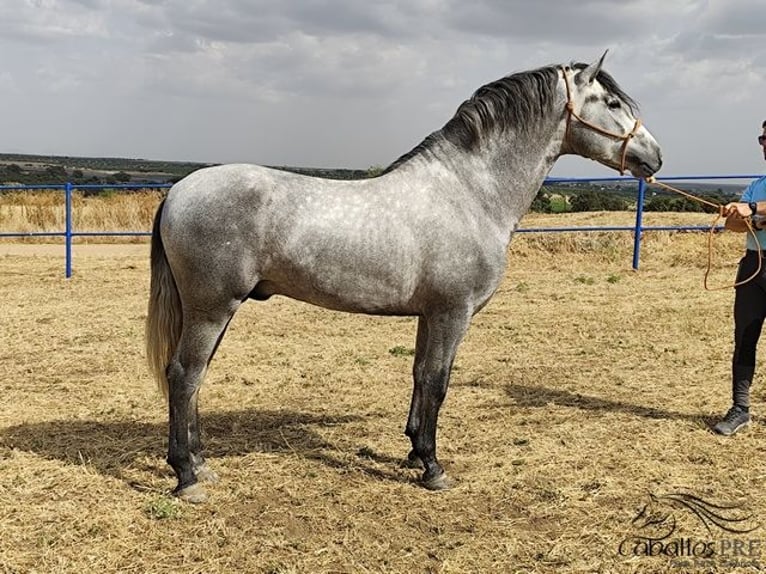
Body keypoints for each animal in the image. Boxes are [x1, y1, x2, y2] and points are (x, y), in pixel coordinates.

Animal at [147, 55, 664, 504]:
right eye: (612, 103)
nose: (655, 157)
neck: (469, 193)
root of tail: (177, 191)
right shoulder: (452, 313)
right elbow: (438, 381)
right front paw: (434, 468)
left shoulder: (429, 315)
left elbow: (419, 375)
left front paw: (414, 452)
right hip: (211, 308)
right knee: (184, 375)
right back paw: (187, 476)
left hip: (215, 310)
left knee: (196, 377)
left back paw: (201, 462)